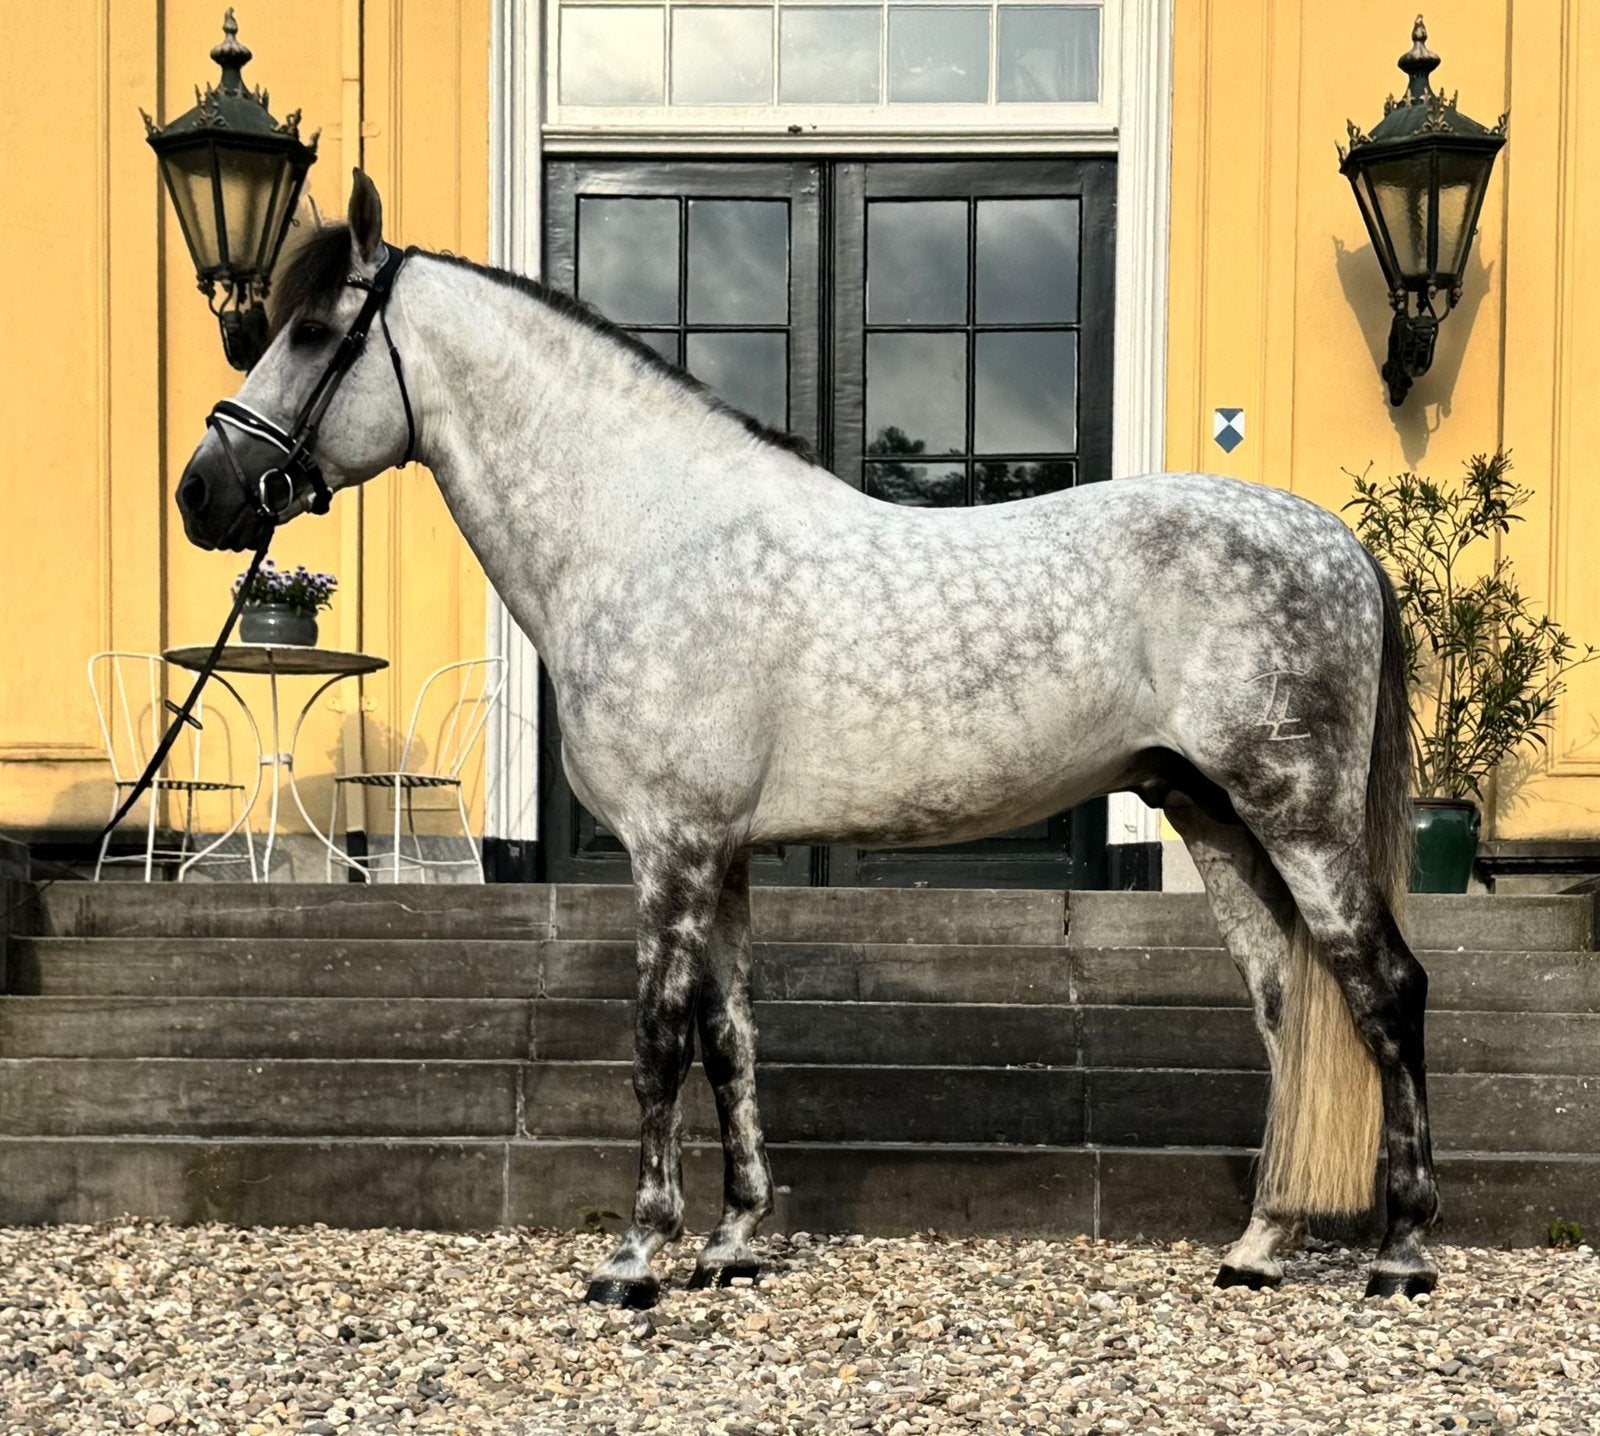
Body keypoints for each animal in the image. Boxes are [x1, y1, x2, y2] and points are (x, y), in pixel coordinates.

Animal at [174, 171, 1437, 1306]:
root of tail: (1338, 545)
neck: (645, 535)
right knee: (1285, 1002)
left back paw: (1402, 1250)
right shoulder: (721, 853)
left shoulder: (670, 847)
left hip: (1295, 812)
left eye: (315, 330)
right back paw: (1259, 1244)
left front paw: (636, 1256)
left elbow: (658, 1040)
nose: (203, 493)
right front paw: (732, 1243)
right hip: (1212, 814)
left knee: (1382, 985)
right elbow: (730, 1033)